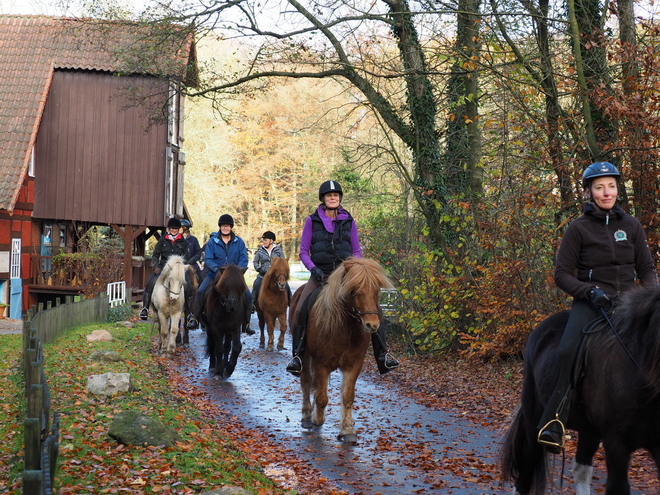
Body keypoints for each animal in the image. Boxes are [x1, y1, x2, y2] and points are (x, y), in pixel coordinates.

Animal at [290, 258, 392, 444]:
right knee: (306, 383)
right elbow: (322, 397)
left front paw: (347, 429)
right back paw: (307, 416)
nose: (372, 325)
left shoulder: (354, 364)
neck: (346, 328)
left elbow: (348, 397)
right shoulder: (321, 363)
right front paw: (317, 419)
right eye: (355, 291)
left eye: (376, 291)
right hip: (305, 356)